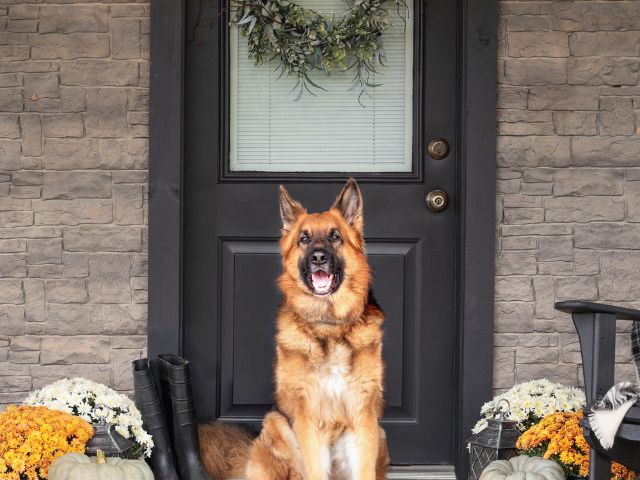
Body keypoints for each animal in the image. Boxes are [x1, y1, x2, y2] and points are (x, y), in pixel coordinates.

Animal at [201, 178, 390, 478]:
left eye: (335, 237)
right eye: (304, 239)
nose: (319, 258)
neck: (328, 327)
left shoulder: (363, 419)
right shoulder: (308, 420)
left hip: (380, 434)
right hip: (275, 422)